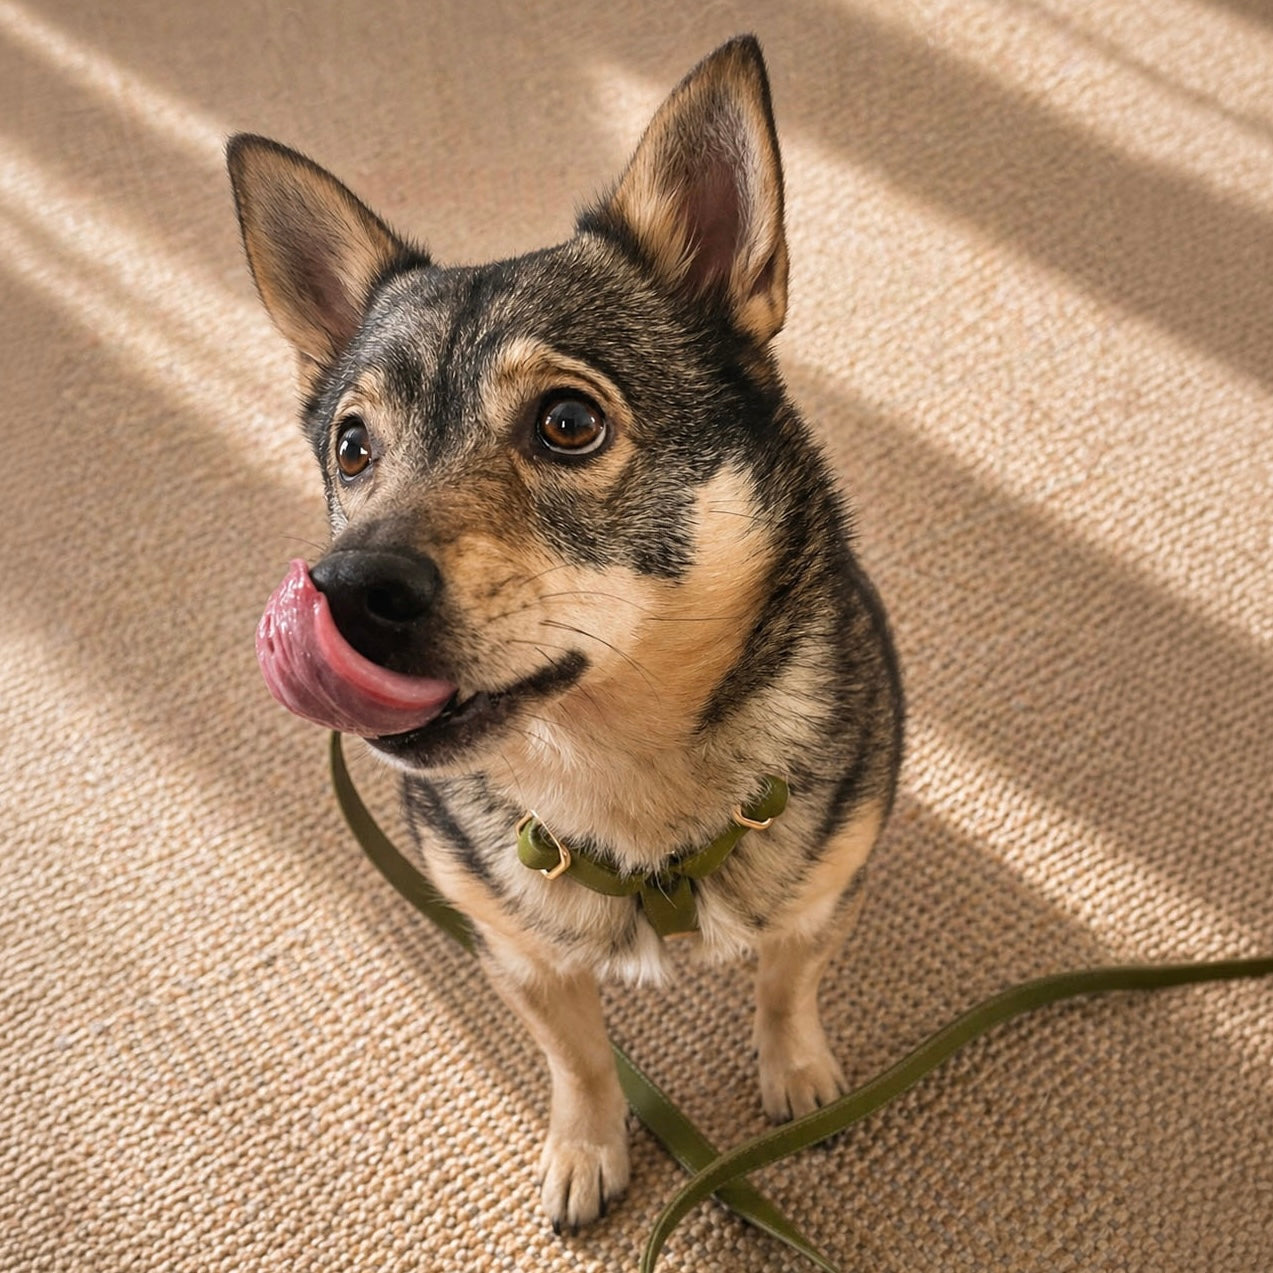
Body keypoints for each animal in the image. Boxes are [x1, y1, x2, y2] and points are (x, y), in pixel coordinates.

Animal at [229, 34, 903, 1234]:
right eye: (352, 447)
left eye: (569, 422)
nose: (343, 588)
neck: (619, 777)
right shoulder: (515, 951)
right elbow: (582, 1058)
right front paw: (589, 1149)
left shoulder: (827, 886)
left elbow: (786, 981)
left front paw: (797, 1075)